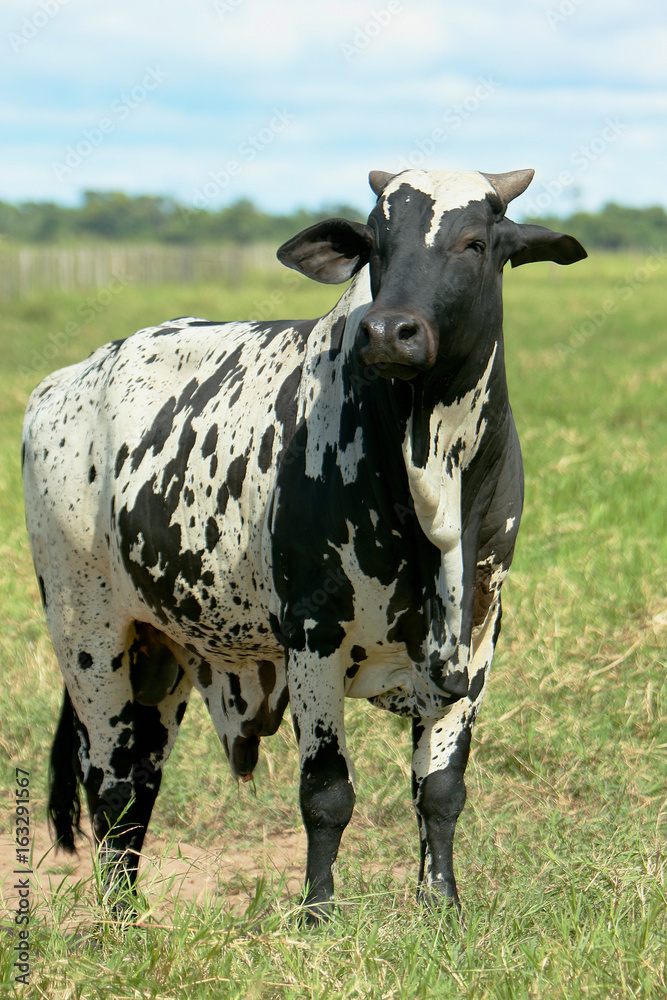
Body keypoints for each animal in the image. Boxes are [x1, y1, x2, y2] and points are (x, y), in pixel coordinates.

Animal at [20, 166, 588, 920]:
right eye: (375, 243)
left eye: (474, 242)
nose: (388, 331)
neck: (433, 484)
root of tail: (68, 380)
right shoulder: (314, 635)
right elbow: (326, 794)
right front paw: (318, 912)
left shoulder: (477, 636)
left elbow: (439, 791)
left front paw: (442, 905)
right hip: (87, 633)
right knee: (109, 785)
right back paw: (119, 922)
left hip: (160, 648)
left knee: (139, 785)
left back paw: (132, 913)